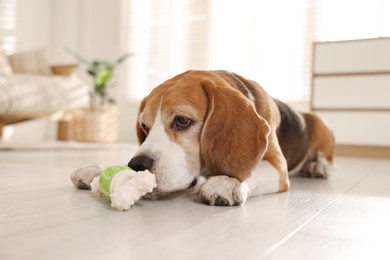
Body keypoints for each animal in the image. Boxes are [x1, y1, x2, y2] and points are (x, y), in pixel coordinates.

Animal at [126, 70, 334, 206]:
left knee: (327, 163)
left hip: (323, 132)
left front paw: (226, 182)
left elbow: (252, 171)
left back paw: (316, 168)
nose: (137, 165)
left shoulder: (278, 166)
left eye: (182, 120)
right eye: (145, 127)